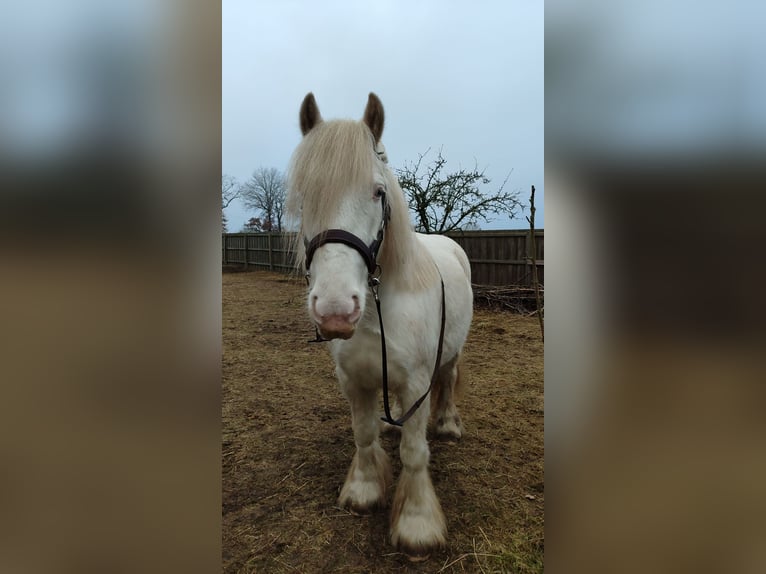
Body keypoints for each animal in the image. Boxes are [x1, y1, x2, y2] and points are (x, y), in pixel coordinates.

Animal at [284, 92, 472, 560]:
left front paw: (417, 523)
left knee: (449, 379)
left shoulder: (418, 381)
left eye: (378, 192)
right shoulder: (353, 379)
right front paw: (365, 489)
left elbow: (415, 452)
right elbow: (364, 432)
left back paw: (448, 424)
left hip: (451, 354)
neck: (377, 306)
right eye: (305, 195)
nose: (335, 310)